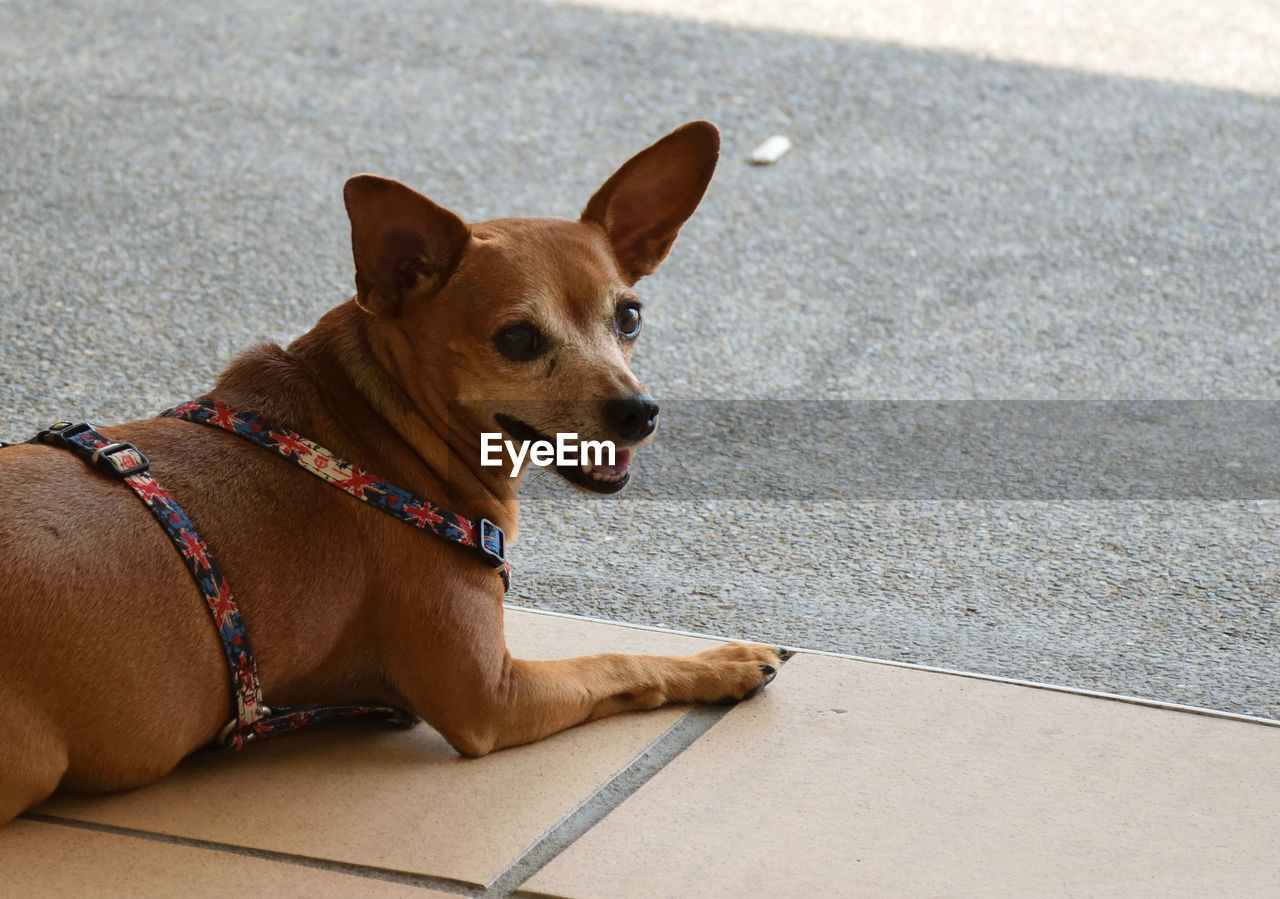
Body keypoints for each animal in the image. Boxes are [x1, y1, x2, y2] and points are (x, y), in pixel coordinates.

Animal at [0, 122, 783, 829]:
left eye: (629, 317)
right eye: (518, 339)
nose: (639, 411)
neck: (367, 427)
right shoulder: (491, 697)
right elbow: (621, 661)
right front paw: (724, 663)